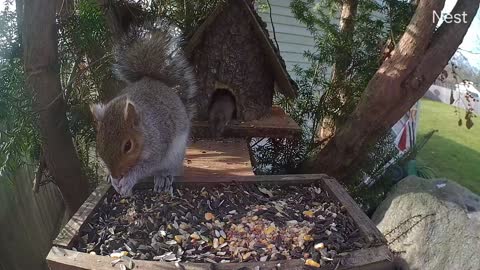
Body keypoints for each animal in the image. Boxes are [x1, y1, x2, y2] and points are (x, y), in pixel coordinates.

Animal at [89, 19, 196, 196]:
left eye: (128, 146)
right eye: (99, 144)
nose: (116, 175)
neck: (144, 129)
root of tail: (149, 78)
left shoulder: (158, 145)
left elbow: (145, 167)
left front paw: (128, 180)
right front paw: (113, 180)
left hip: (175, 155)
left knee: (169, 170)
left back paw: (163, 177)